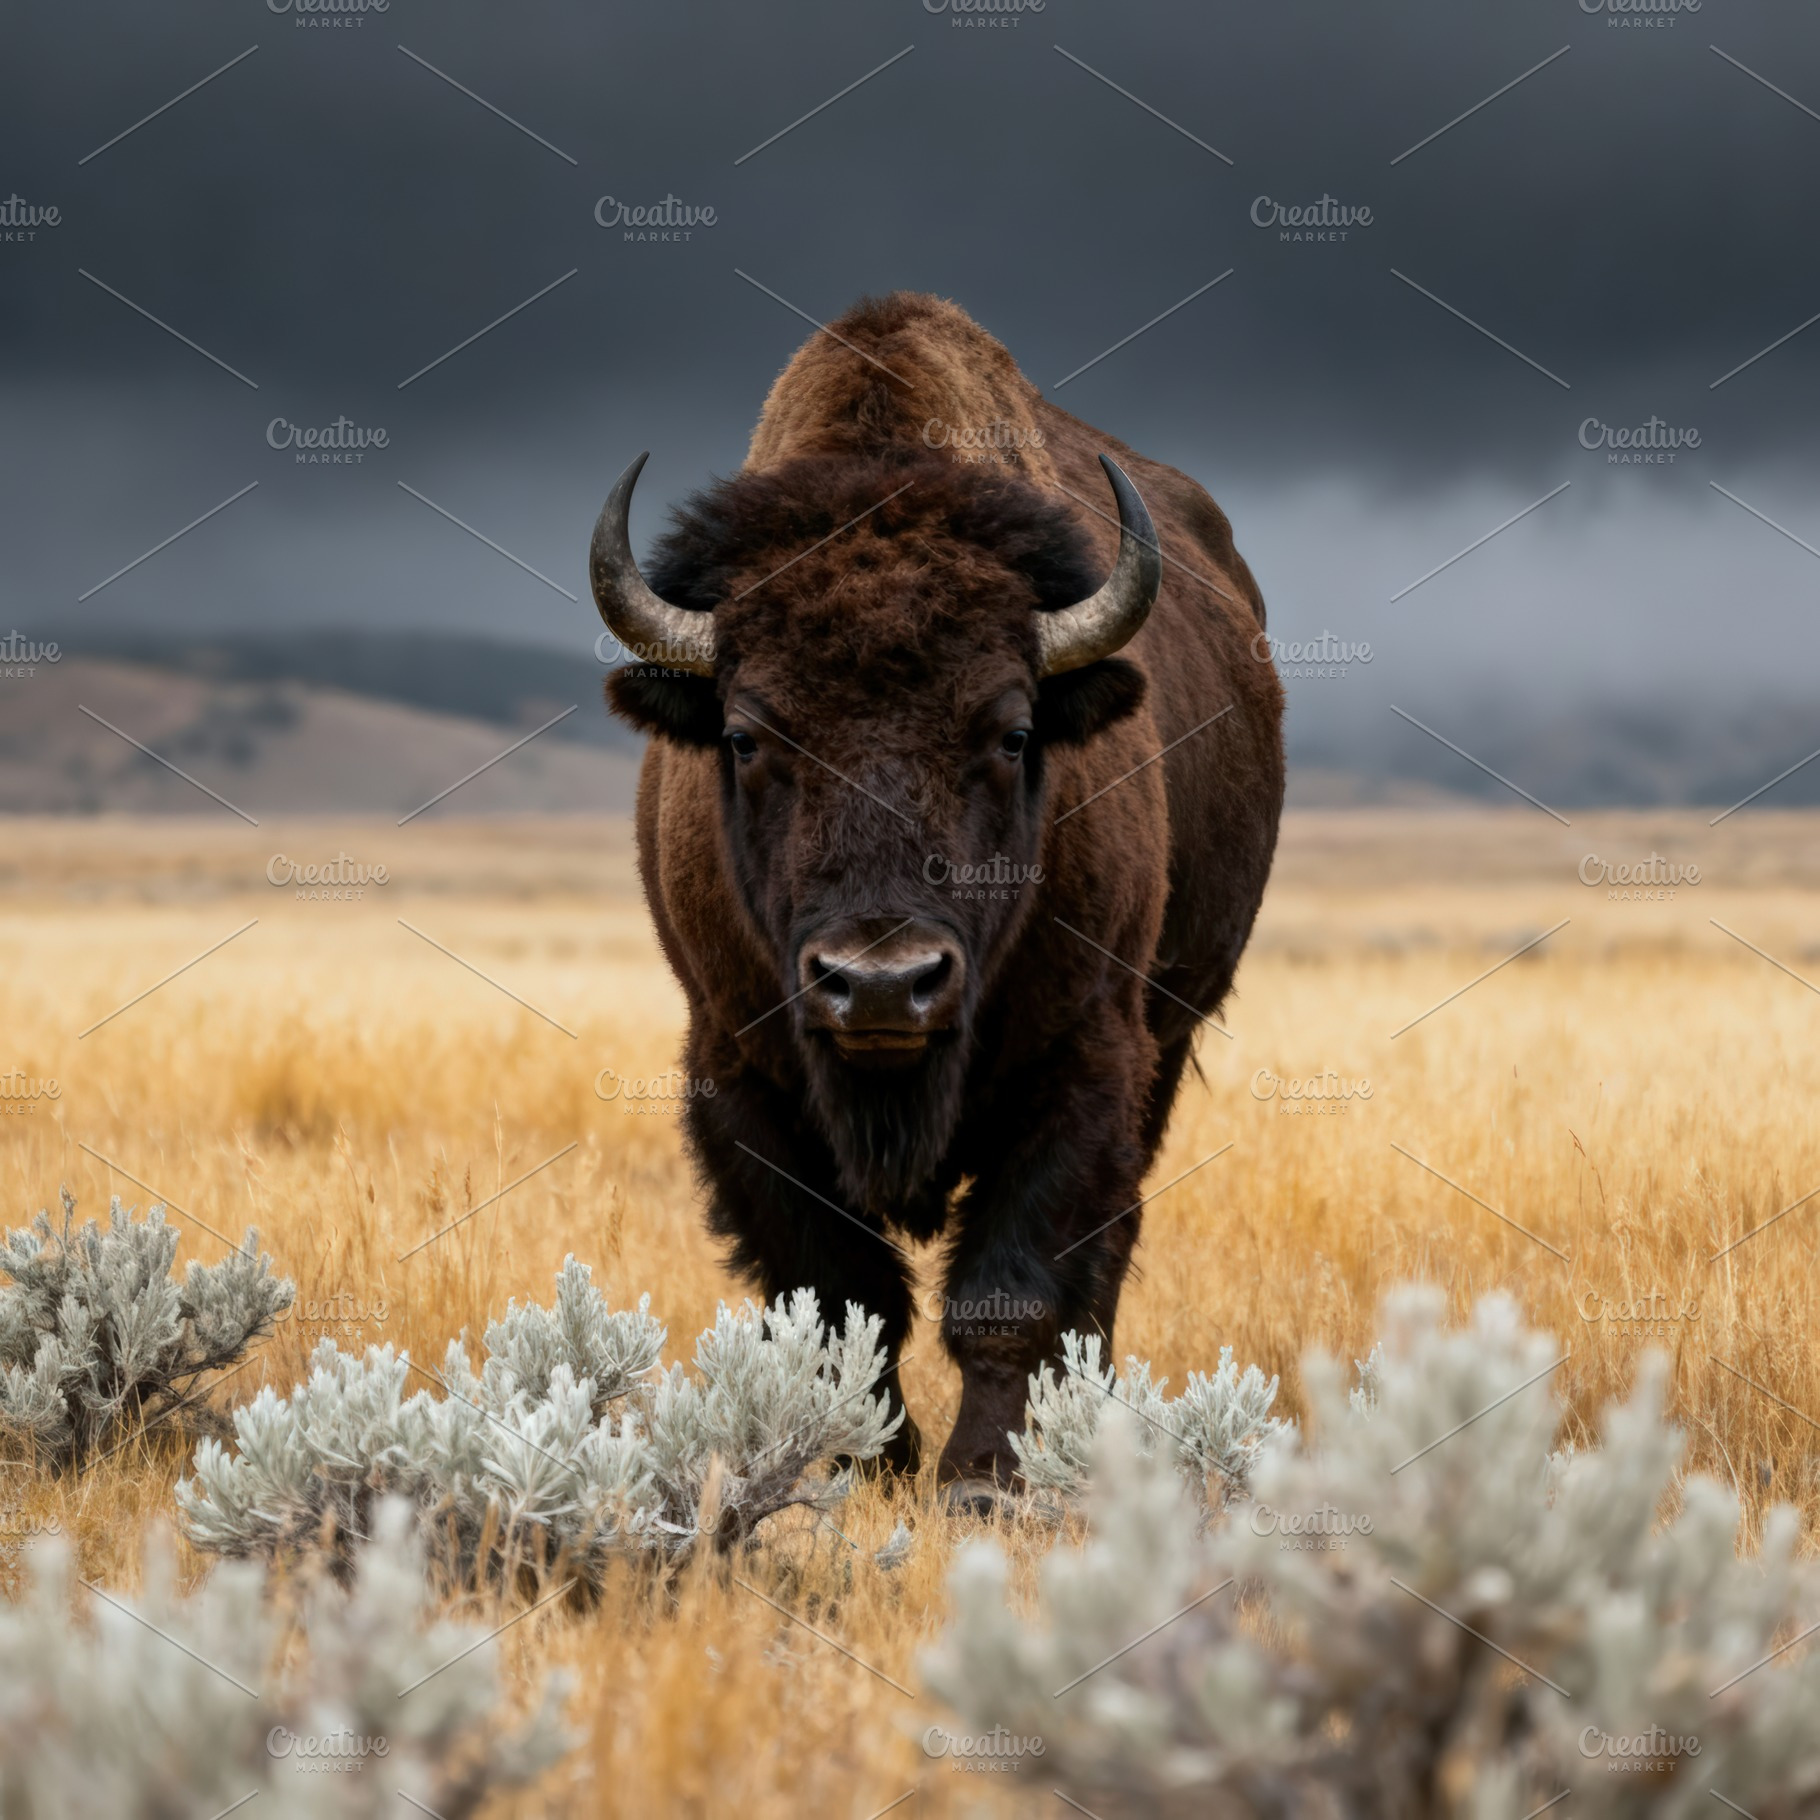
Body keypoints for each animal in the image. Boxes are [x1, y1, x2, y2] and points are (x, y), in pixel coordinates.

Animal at [590, 291, 1283, 1501]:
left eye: (1010, 733)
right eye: (745, 736)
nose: (879, 984)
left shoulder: (1083, 1061)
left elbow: (1010, 1289)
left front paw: (979, 1477)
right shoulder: (737, 1069)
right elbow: (835, 1298)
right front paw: (859, 1464)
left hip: (1164, 1040)